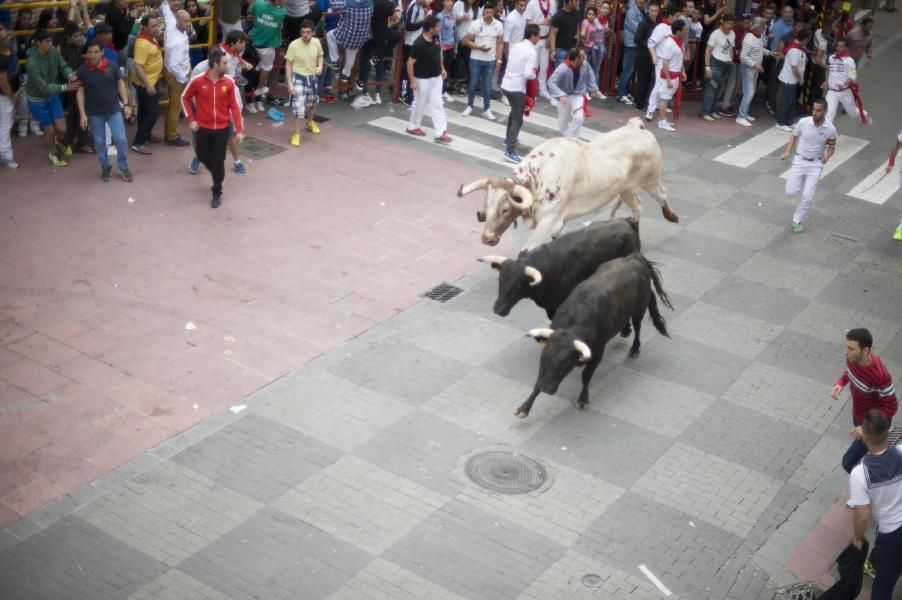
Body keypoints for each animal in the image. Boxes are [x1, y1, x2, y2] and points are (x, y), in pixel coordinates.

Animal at [460, 117, 680, 251]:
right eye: (485, 206)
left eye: (505, 209)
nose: (487, 239)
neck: (538, 176)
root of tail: (636, 127)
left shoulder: (549, 222)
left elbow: (525, 251)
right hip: (625, 188)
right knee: (637, 205)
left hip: (651, 180)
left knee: (662, 194)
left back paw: (672, 216)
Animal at [516, 253, 672, 418]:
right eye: (544, 359)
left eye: (565, 363)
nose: (546, 388)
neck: (572, 325)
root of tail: (635, 257)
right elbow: (539, 378)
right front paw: (525, 407)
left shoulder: (597, 353)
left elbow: (586, 376)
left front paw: (583, 400)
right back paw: (625, 330)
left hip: (639, 309)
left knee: (638, 327)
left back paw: (635, 349)